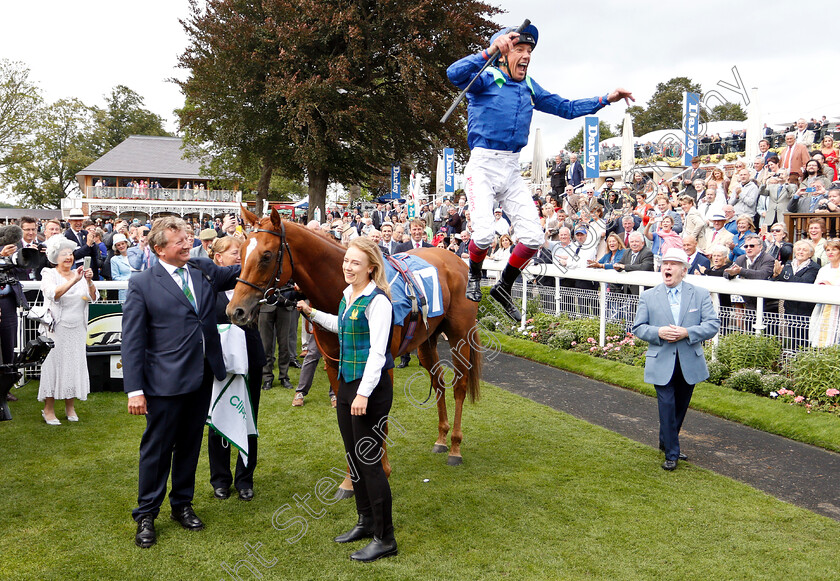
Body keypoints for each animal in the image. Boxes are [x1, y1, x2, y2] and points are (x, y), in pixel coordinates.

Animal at [226, 206, 482, 492]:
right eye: (242, 250)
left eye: (267, 256)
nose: (235, 310)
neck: (345, 288)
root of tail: (457, 260)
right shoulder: (334, 363)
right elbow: (345, 417)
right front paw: (350, 480)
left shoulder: (381, 366)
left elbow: (379, 420)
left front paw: (383, 470)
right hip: (427, 339)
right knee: (438, 382)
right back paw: (441, 438)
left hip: (459, 336)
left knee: (459, 386)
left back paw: (455, 448)